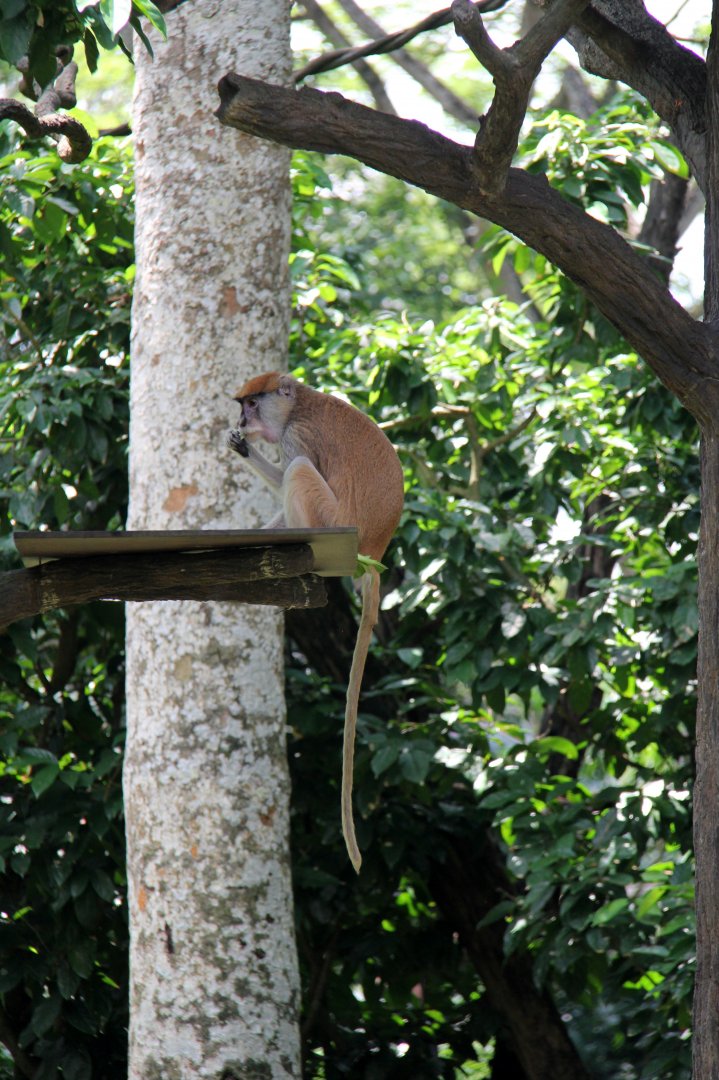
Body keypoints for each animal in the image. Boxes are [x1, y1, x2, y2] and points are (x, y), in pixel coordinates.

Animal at [227, 371, 404, 872]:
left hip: (329, 517)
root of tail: (373, 553)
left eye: (251, 404)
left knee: (300, 473)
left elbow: (295, 466)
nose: (242, 423)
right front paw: (239, 447)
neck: (299, 404)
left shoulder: (296, 436)